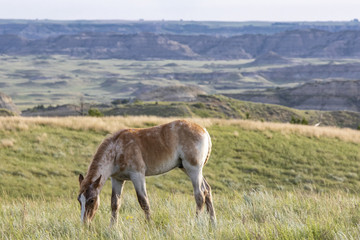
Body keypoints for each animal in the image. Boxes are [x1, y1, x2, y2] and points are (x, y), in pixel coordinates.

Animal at [77, 120, 215, 225]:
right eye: (79, 200)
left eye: (91, 200)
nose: (85, 224)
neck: (117, 149)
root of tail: (203, 130)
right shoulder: (117, 179)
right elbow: (115, 204)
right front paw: (112, 228)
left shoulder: (137, 175)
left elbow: (143, 201)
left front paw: (150, 225)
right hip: (187, 168)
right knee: (207, 190)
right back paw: (213, 224)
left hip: (193, 169)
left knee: (200, 195)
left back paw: (196, 223)